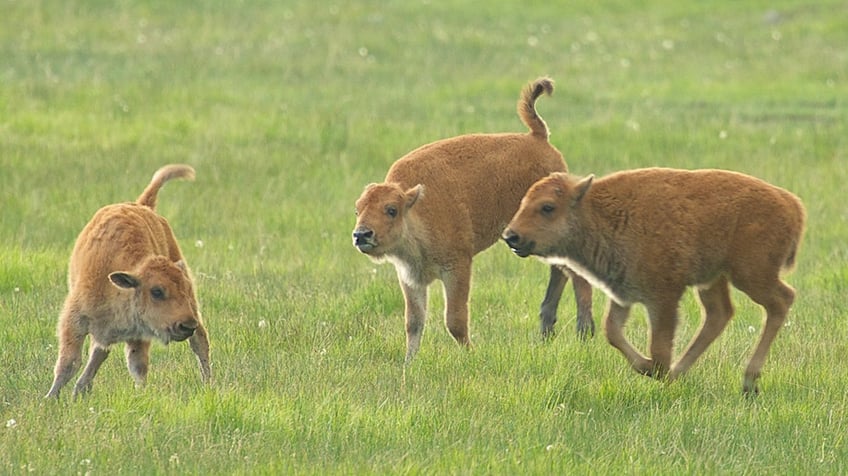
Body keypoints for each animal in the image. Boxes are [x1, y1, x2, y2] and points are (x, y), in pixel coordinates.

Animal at [46, 164, 212, 398]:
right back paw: (80, 389)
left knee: (200, 341)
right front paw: (50, 398)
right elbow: (69, 363)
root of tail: (142, 205)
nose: (186, 325)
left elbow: (137, 366)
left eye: (184, 290)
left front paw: (142, 395)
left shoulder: (139, 333)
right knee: (98, 353)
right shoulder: (74, 320)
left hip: (192, 307)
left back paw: (208, 385)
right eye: (157, 291)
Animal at [354, 78, 592, 362]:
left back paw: (584, 333)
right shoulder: (411, 278)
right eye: (357, 209)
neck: (416, 208)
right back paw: (548, 331)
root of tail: (538, 137)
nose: (361, 235)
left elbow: (454, 320)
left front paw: (471, 354)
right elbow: (414, 322)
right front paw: (408, 363)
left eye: (391, 210)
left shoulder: (458, 267)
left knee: (575, 273)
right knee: (561, 271)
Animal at [506, 167, 804, 394]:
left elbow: (659, 347)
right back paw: (680, 373)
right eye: (522, 203)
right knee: (719, 314)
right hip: (713, 279)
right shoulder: (622, 294)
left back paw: (748, 381)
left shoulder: (664, 297)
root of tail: (792, 204)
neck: (597, 211)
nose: (511, 236)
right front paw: (653, 369)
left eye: (547, 207)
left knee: (781, 301)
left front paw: (655, 369)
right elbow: (612, 331)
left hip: (750, 275)